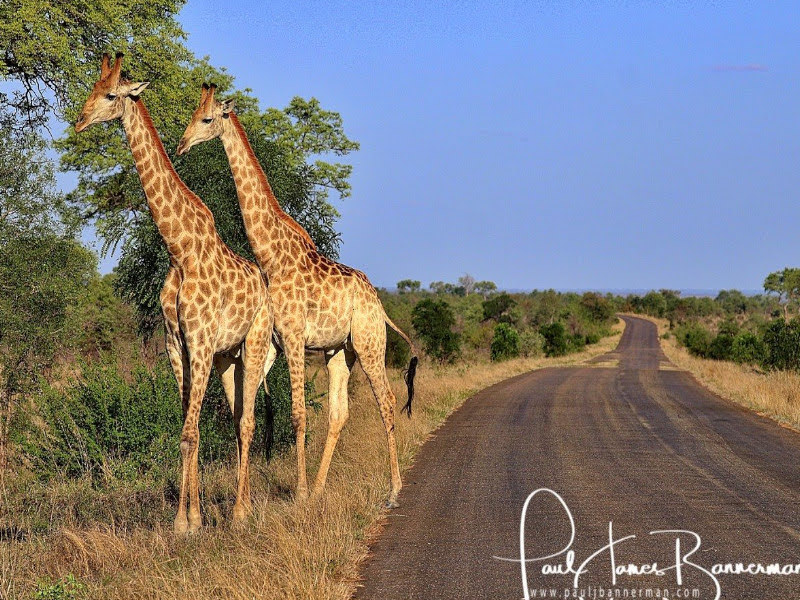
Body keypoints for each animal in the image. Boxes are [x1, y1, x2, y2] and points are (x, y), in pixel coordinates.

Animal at [76, 55, 274, 533]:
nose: (79, 120)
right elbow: (188, 432)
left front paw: (188, 522)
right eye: (93, 87)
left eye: (112, 95)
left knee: (247, 423)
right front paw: (189, 518)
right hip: (226, 358)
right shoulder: (176, 343)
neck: (179, 250)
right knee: (235, 419)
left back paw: (241, 513)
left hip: (255, 343)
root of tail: (265, 286)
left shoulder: (199, 340)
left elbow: (190, 430)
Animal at [177, 84, 418, 508]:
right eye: (192, 116)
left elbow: (297, 414)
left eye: (206, 119)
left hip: (370, 342)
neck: (271, 256)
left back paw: (392, 491)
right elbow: (258, 411)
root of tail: (379, 304)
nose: (182, 144)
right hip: (341, 351)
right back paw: (323, 487)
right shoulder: (273, 342)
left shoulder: (292, 336)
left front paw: (299, 493)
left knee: (387, 402)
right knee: (339, 412)